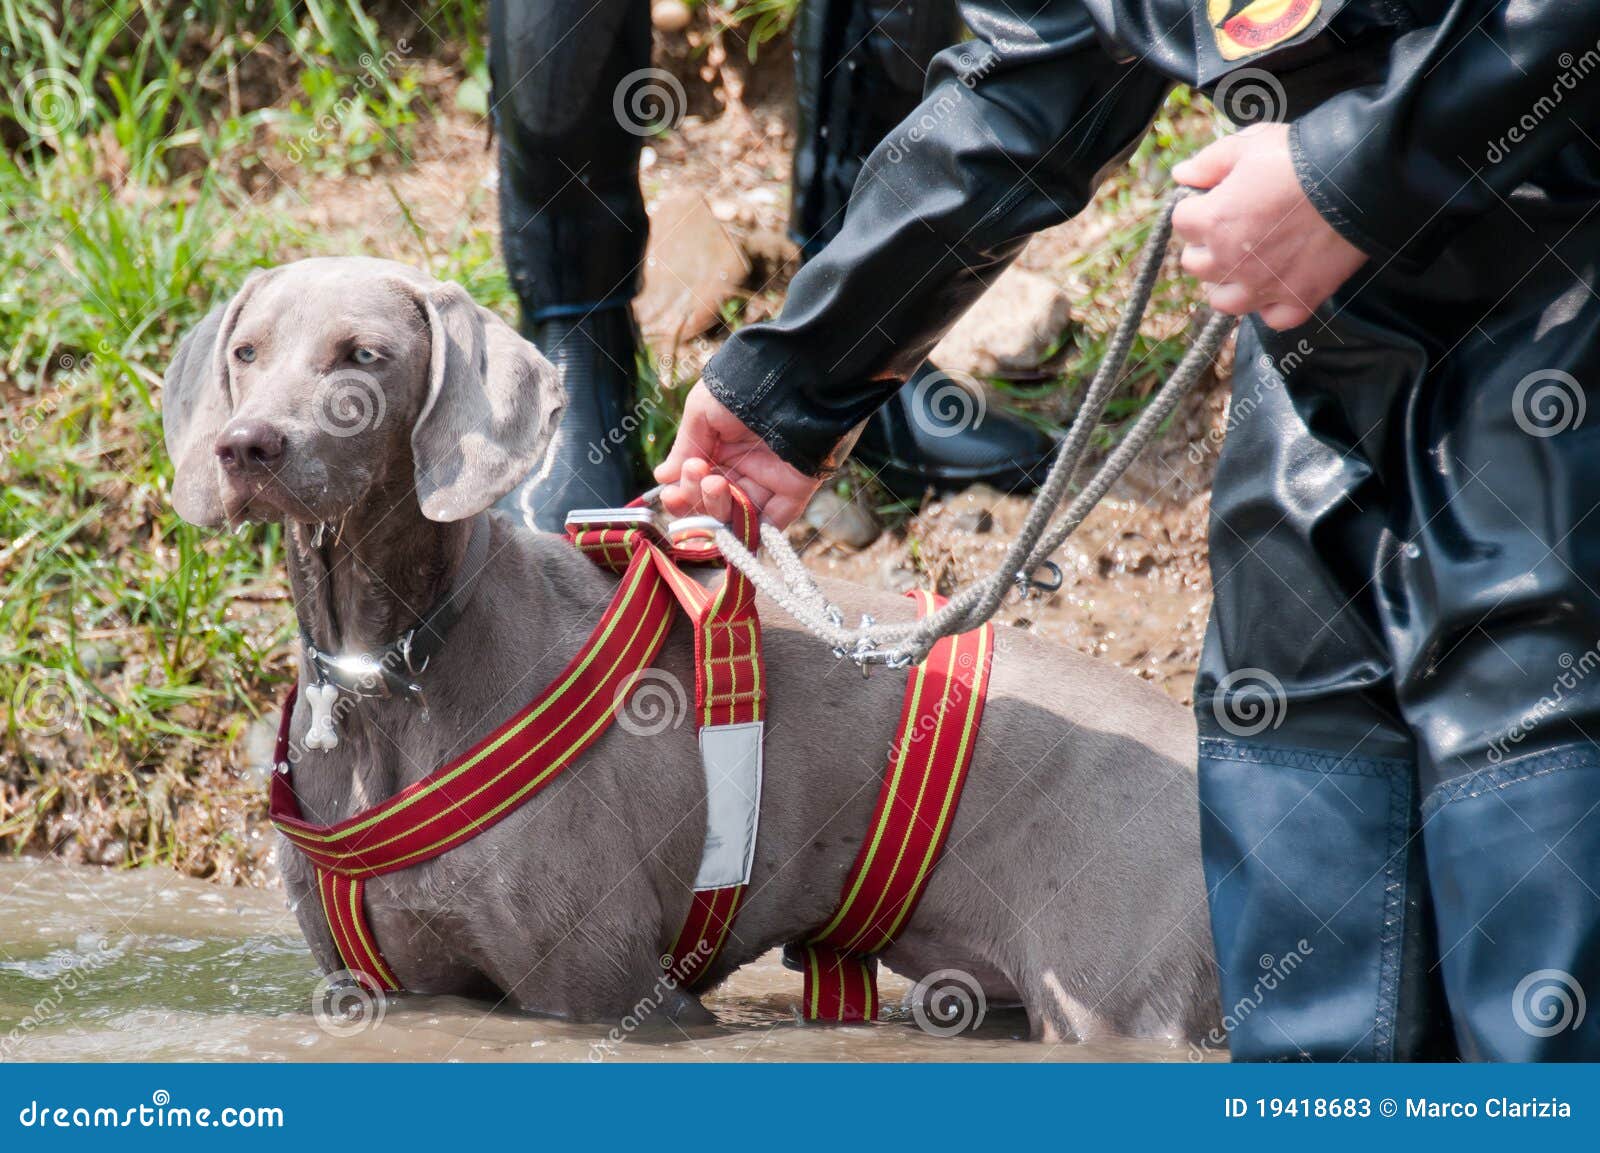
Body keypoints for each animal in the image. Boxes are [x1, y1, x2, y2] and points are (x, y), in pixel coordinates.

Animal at [162, 255, 1216, 1036]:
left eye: (364, 355)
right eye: (247, 351)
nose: (245, 445)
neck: (391, 672)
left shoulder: (607, 989)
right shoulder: (385, 987)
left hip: (1113, 1000)